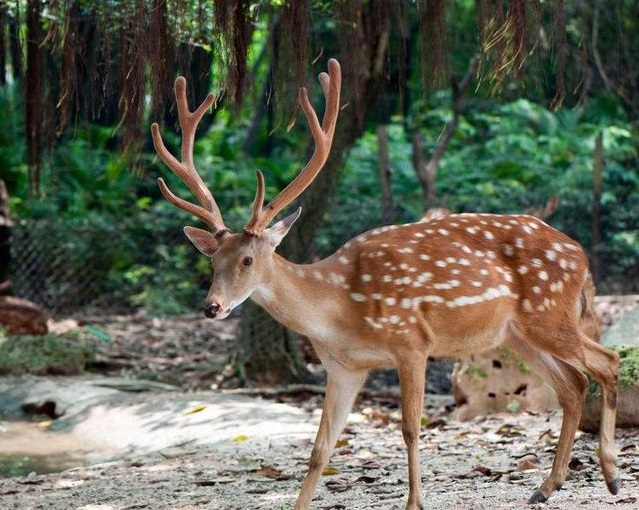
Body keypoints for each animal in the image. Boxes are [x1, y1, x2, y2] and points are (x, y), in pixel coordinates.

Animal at [150, 59, 620, 510]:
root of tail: (580, 254)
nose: (211, 307)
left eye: (247, 259)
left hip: (548, 312)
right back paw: (546, 486)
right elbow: (320, 449)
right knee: (573, 386)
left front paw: (414, 502)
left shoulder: (411, 341)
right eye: (212, 261)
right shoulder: (343, 367)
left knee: (607, 361)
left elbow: (410, 429)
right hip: (515, 334)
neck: (340, 309)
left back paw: (611, 475)